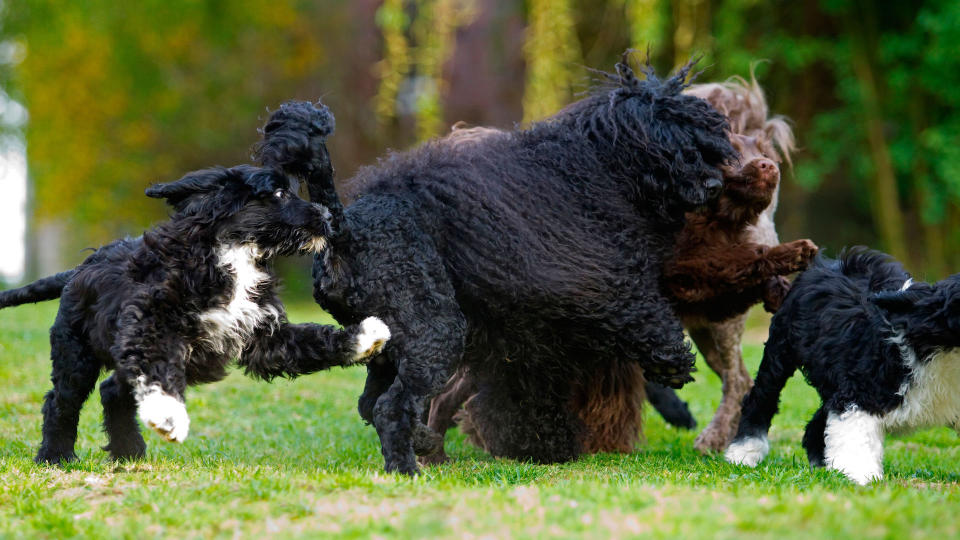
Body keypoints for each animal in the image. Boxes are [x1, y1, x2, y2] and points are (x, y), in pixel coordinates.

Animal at [0, 126, 390, 464]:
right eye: (279, 194)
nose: (327, 216)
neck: (234, 256)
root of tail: (79, 269)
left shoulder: (264, 336)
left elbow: (313, 341)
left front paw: (366, 335)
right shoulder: (151, 323)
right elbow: (157, 370)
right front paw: (169, 415)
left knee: (113, 391)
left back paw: (129, 451)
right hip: (75, 350)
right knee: (61, 400)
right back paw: (56, 456)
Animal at [260, 57, 736, 474]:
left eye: (709, 147)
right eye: (681, 148)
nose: (715, 185)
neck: (600, 166)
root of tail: (344, 227)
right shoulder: (588, 273)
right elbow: (640, 309)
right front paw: (672, 362)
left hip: (391, 339)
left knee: (372, 403)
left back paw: (424, 442)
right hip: (434, 328)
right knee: (390, 408)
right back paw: (407, 467)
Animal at [728, 248, 960, 486]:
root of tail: (829, 264)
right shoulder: (863, 390)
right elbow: (855, 435)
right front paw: (860, 475)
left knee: (817, 422)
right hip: (780, 350)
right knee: (762, 398)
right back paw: (745, 452)